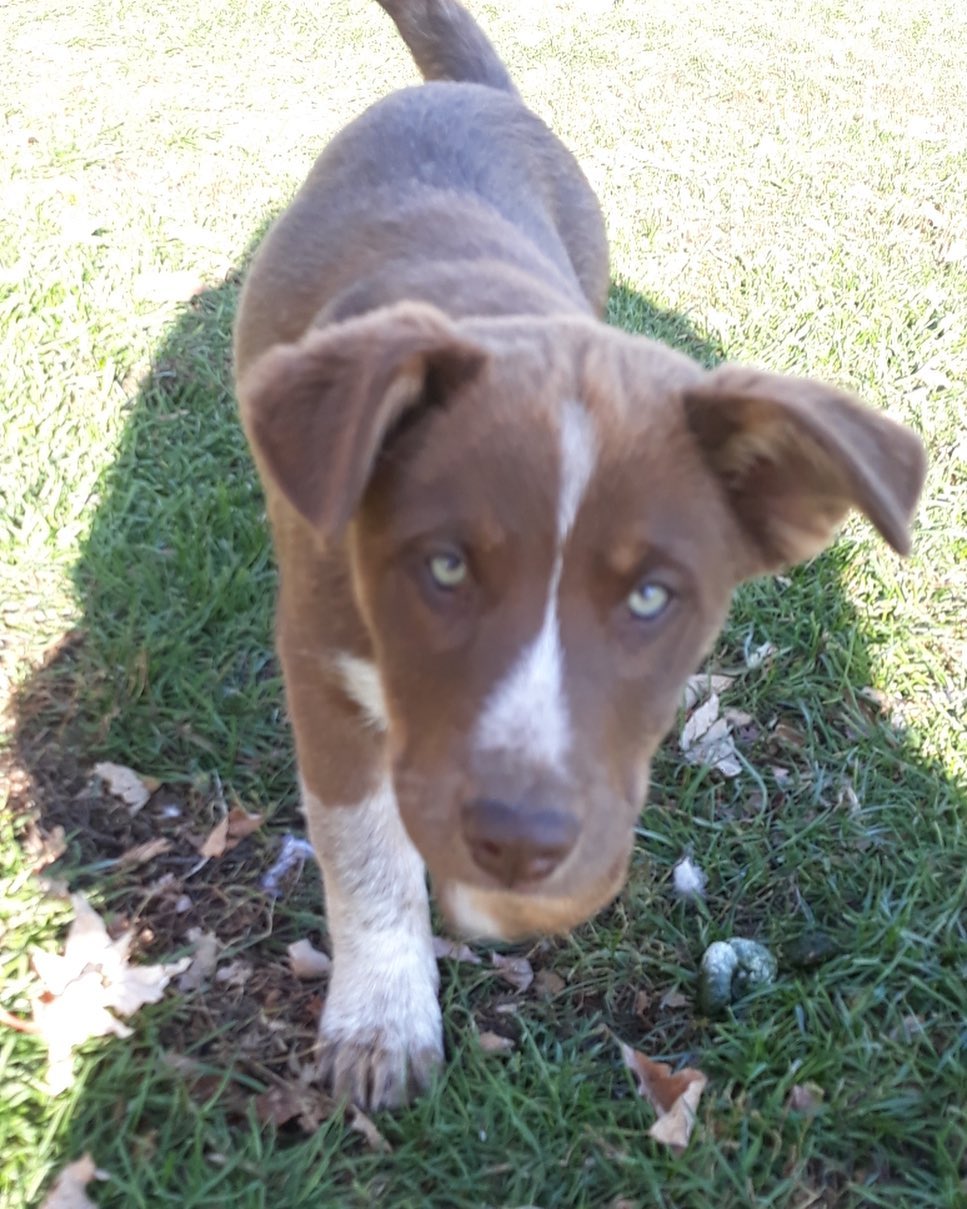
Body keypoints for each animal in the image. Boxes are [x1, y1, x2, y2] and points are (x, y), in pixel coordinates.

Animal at [232, 0, 923, 1107]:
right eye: (444, 568)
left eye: (650, 597)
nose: (519, 841)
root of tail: (465, 94)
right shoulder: (323, 665)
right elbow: (365, 849)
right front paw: (381, 1018)